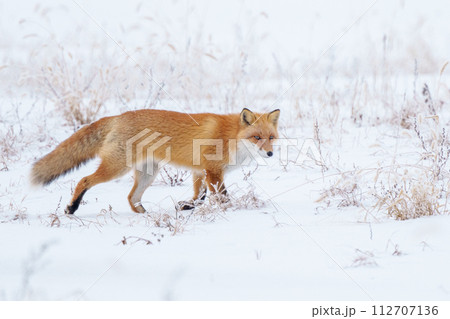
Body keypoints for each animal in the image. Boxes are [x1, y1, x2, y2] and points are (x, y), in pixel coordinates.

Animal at [29, 107, 280, 215]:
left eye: (271, 138)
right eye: (256, 137)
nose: (270, 154)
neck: (231, 137)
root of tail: (118, 116)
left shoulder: (200, 171)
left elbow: (199, 196)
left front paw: (185, 206)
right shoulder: (213, 172)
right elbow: (221, 197)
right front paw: (232, 210)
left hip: (148, 174)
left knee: (131, 197)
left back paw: (143, 214)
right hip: (117, 168)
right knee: (83, 180)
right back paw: (72, 207)